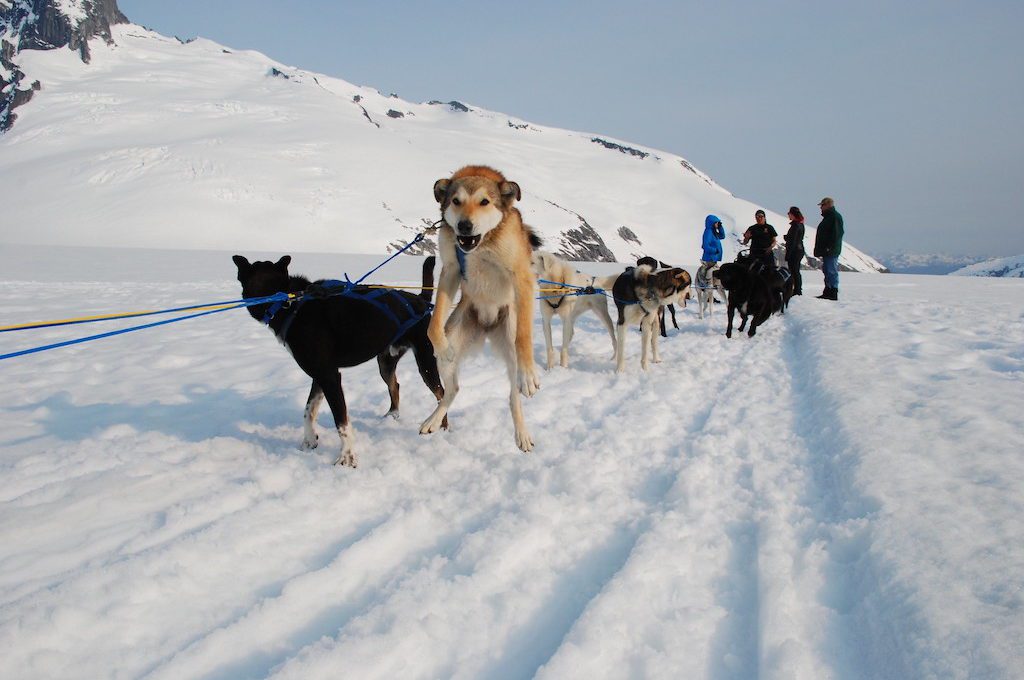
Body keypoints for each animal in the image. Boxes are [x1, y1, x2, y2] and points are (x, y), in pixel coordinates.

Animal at [235, 255, 444, 466]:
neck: (290, 304)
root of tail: (420, 300)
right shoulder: (319, 375)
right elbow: (308, 410)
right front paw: (309, 440)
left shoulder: (329, 377)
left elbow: (341, 422)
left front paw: (347, 456)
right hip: (385, 362)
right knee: (396, 386)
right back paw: (392, 415)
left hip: (425, 362)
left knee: (442, 394)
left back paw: (439, 427)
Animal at [417, 163, 544, 450]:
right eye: (456, 201)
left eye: (484, 202)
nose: (464, 225)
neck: (481, 245)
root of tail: (487, 325)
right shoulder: (451, 270)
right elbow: (433, 324)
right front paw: (442, 347)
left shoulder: (521, 277)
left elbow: (525, 336)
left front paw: (529, 373)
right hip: (456, 333)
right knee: (452, 390)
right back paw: (433, 419)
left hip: (509, 344)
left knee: (513, 396)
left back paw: (522, 433)